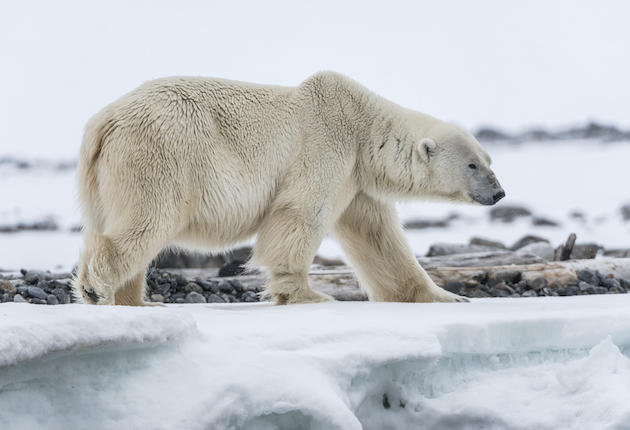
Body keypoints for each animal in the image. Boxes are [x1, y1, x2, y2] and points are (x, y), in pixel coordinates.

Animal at [73, 71, 508, 306]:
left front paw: (448, 296)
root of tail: (103, 122)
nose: (499, 193)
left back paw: (138, 300)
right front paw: (308, 295)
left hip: (105, 175)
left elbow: (378, 237)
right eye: (472, 164)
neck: (363, 124)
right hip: (162, 153)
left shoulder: (354, 179)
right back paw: (98, 290)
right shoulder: (327, 142)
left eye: (489, 160)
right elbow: (299, 213)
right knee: (148, 218)